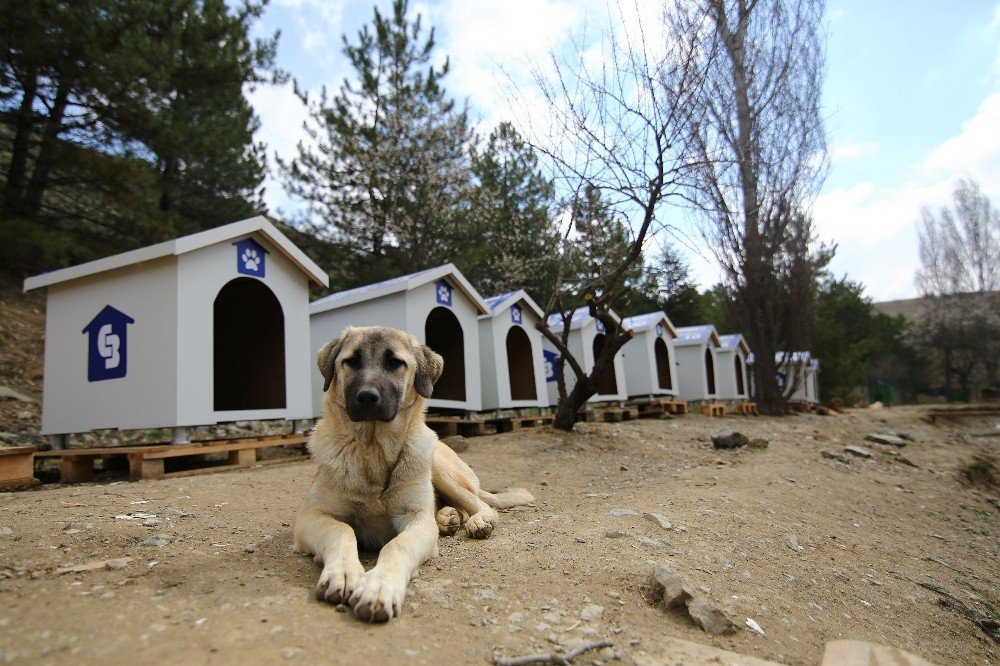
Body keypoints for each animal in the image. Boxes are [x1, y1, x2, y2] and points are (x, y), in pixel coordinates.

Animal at [292, 324, 536, 620]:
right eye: (352, 361)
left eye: (395, 363)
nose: (367, 397)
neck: (373, 450)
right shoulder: (312, 517)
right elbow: (342, 531)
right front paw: (343, 572)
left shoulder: (416, 520)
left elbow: (396, 545)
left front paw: (379, 586)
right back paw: (448, 517)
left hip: (438, 466)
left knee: (480, 504)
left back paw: (477, 520)